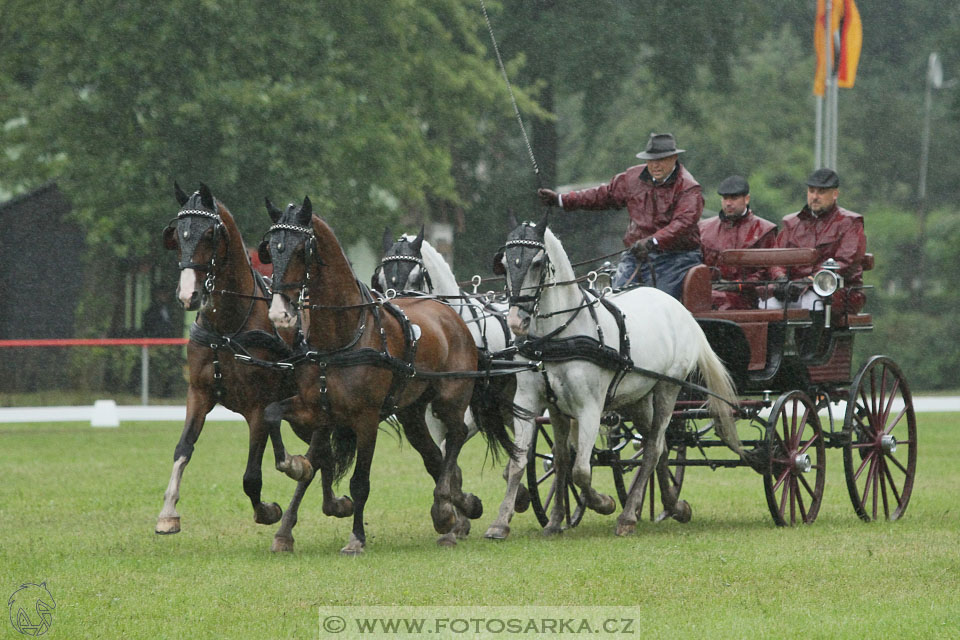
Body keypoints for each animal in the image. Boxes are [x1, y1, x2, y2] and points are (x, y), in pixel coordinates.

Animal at [156, 184, 310, 536]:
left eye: (210, 233)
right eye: (178, 235)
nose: (188, 295)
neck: (226, 328)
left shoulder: (257, 407)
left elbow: (251, 476)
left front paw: (267, 511)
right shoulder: (199, 394)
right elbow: (183, 449)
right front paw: (168, 512)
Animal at [258, 198, 512, 552]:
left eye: (300, 249)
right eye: (270, 248)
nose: (280, 312)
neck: (343, 333)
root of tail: (451, 314)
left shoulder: (365, 418)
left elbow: (360, 481)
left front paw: (356, 538)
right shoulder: (316, 407)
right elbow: (282, 428)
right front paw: (288, 497)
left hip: (449, 398)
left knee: (456, 436)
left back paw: (445, 507)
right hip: (412, 412)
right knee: (433, 454)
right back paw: (458, 508)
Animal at [484, 218, 748, 536]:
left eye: (537, 263)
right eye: (505, 263)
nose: (515, 321)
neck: (557, 336)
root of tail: (678, 308)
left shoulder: (589, 408)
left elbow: (581, 470)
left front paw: (603, 503)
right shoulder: (533, 402)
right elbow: (541, 461)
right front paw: (522, 522)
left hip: (667, 389)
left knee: (654, 447)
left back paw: (628, 516)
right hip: (637, 399)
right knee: (658, 447)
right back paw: (673, 506)